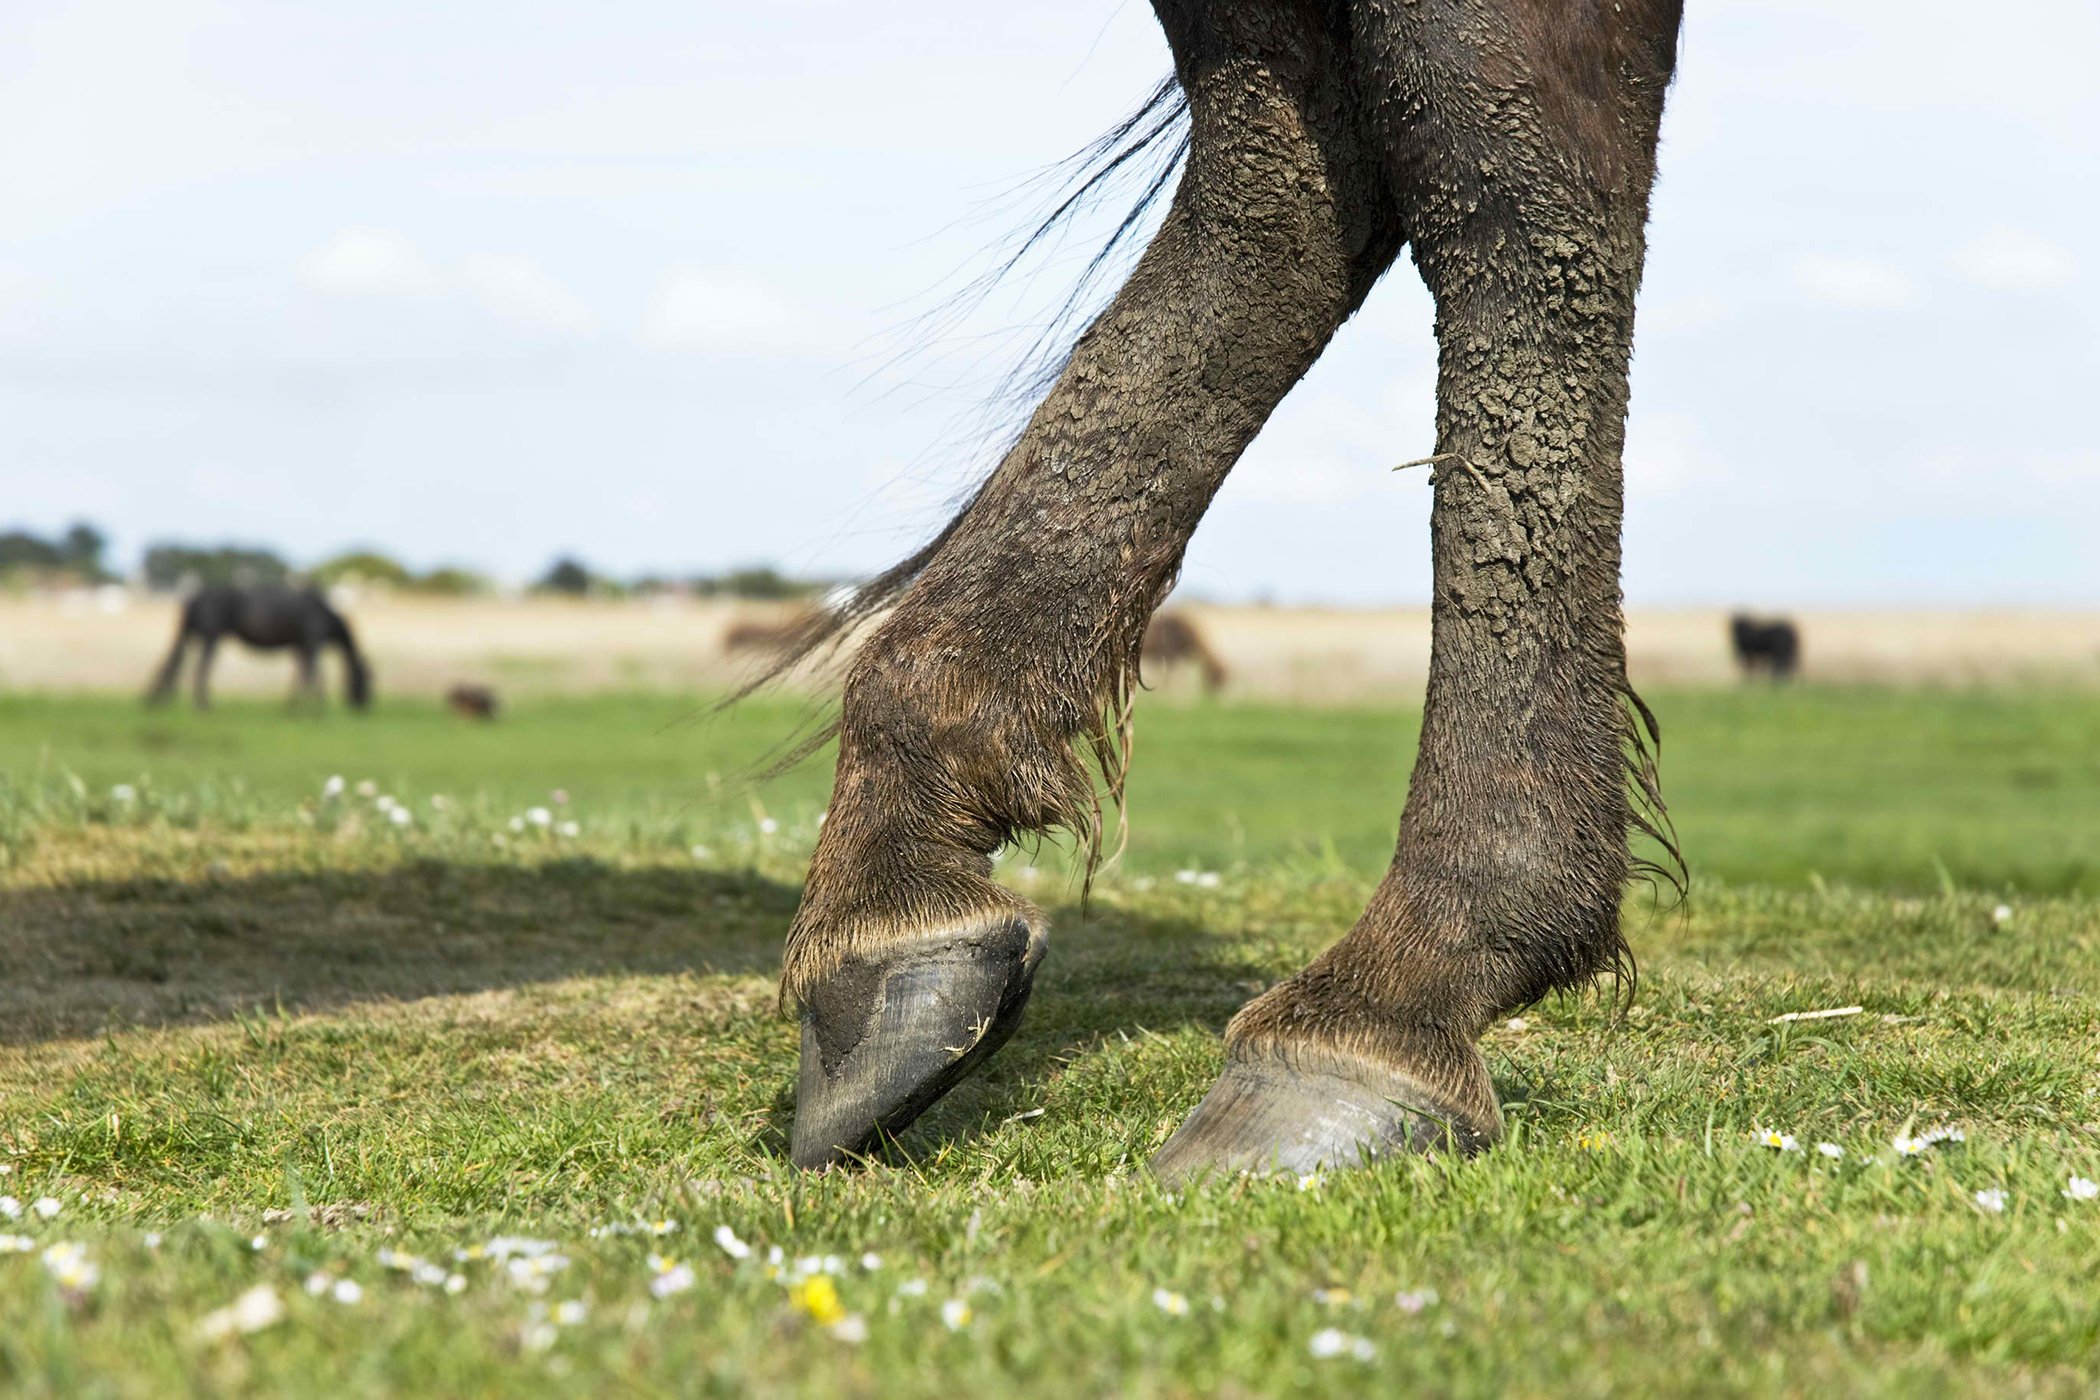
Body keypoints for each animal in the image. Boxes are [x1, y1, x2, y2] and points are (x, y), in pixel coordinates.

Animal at [145, 584, 371, 711]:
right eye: (368, 679)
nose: (364, 707)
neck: (326, 616)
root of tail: (194, 599)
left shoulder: (300, 648)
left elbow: (300, 676)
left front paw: (292, 707)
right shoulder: (312, 643)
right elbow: (315, 674)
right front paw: (318, 709)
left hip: (197, 636)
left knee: (178, 663)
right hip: (211, 637)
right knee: (201, 668)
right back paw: (203, 706)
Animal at [753, 0, 1685, 1177]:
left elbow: (1511, 188)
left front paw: (1411, 991)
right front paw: (897, 897)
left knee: (1498, 199)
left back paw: (1398, 982)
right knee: (1280, 184)